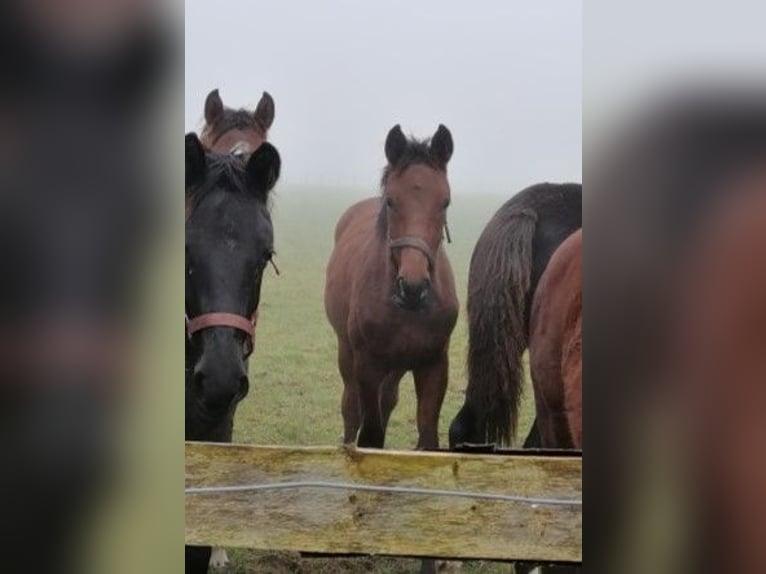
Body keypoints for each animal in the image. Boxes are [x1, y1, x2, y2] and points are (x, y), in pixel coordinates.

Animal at [322, 125, 456, 450]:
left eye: (445, 201)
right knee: (351, 408)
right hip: (348, 353)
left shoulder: (434, 364)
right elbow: (370, 434)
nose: (413, 287)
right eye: (392, 201)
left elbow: (428, 437)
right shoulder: (367, 365)